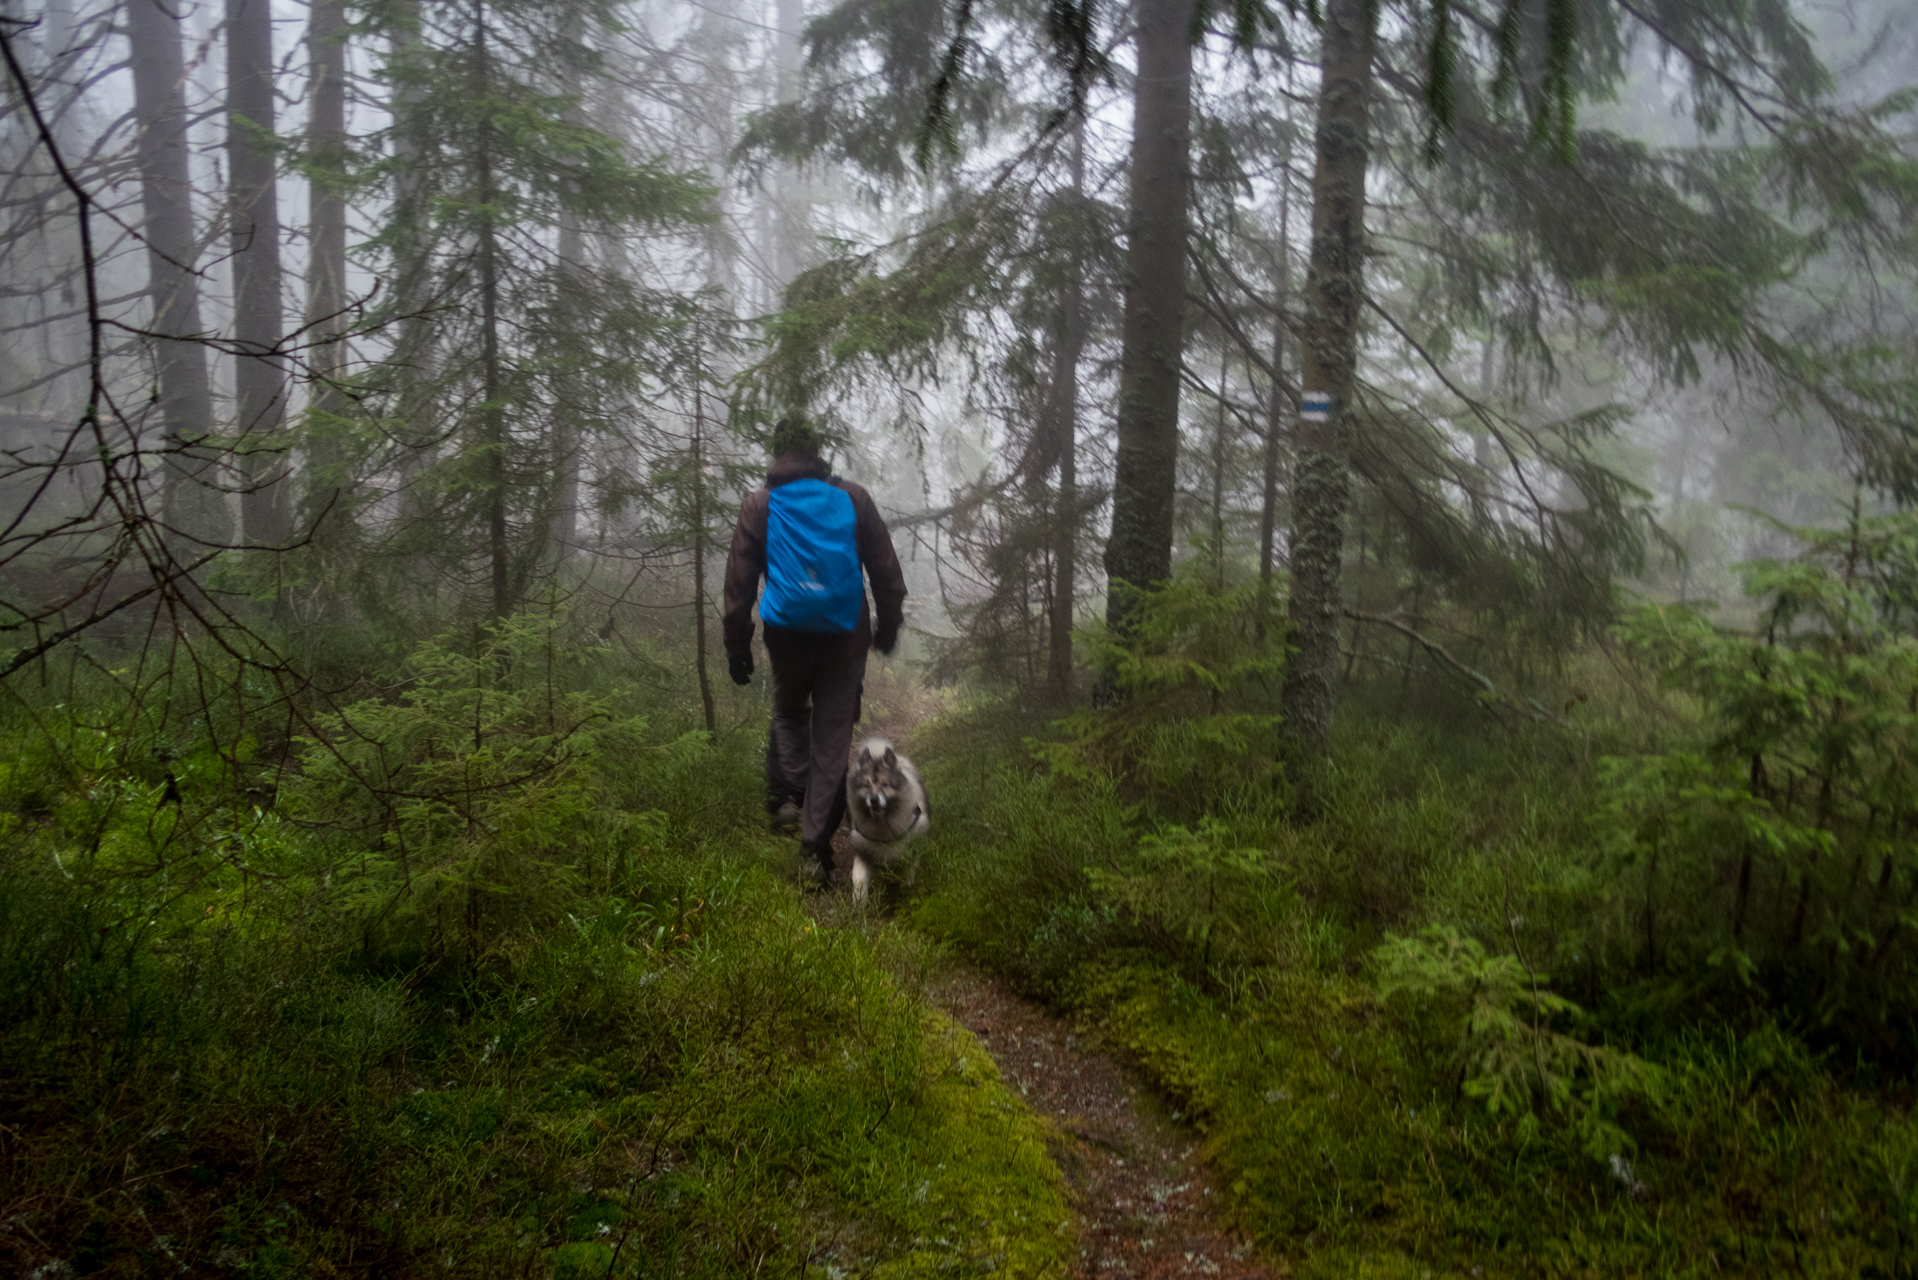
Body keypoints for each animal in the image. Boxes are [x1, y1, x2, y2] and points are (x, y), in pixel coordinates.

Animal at [847, 736, 928, 905]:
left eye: (885, 784)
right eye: (866, 785)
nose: (873, 800)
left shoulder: (912, 848)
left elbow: (908, 874)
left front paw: (906, 892)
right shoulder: (863, 851)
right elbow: (858, 878)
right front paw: (859, 901)